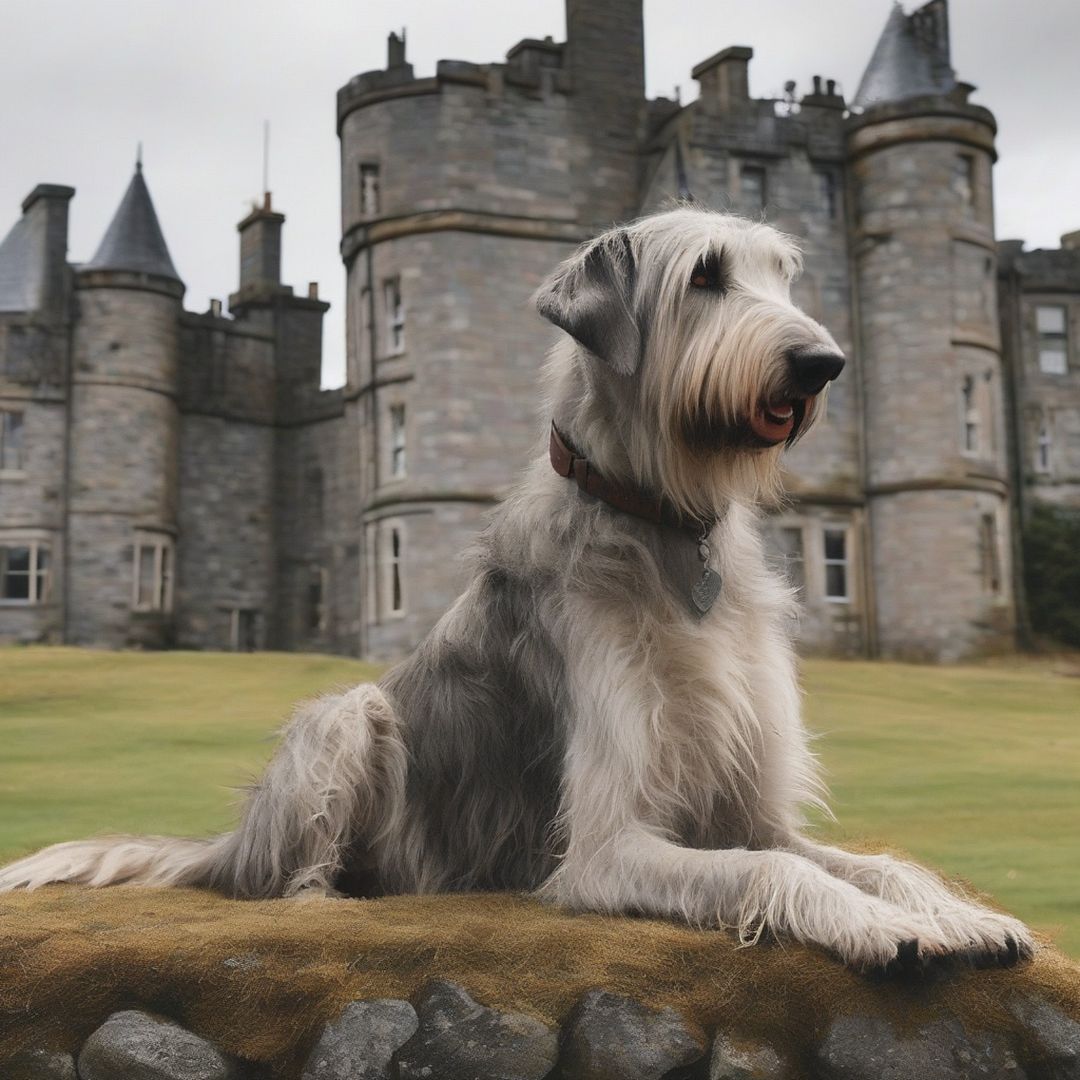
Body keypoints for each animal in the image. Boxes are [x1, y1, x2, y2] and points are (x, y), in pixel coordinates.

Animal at [0, 208, 1032, 972]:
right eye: (704, 275)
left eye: (783, 275)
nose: (825, 364)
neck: (663, 526)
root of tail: (231, 842)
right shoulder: (607, 847)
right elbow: (768, 875)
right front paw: (883, 928)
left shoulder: (752, 810)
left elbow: (870, 860)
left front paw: (953, 912)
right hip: (347, 716)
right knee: (291, 867)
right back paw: (326, 896)